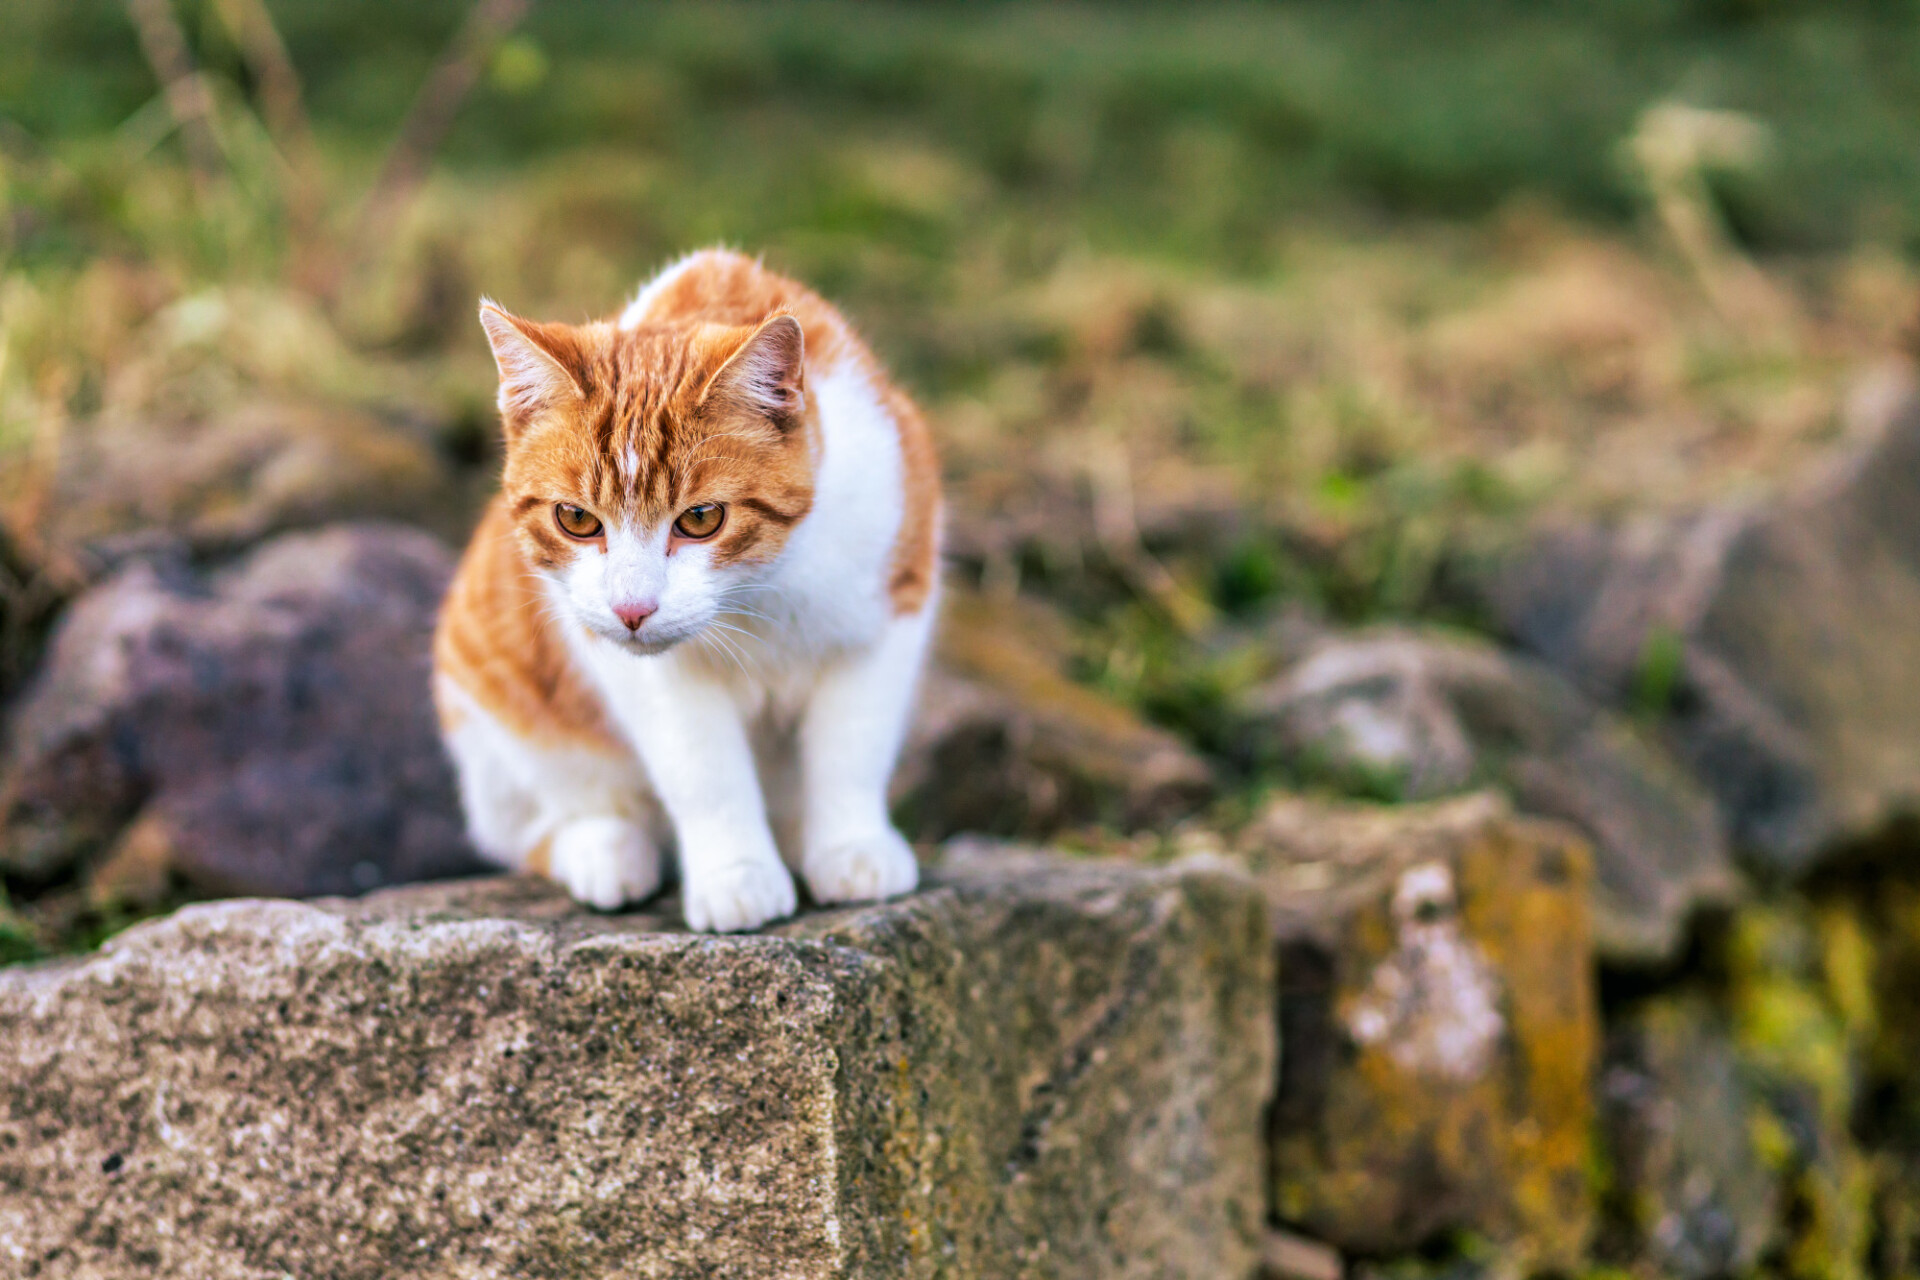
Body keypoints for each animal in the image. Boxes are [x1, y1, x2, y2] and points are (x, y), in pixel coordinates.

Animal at [435, 247, 944, 932]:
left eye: (701, 519)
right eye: (575, 519)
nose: (632, 609)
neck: (759, 590)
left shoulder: (893, 603)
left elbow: (852, 749)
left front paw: (851, 847)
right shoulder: (640, 670)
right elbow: (705, 772)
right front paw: (737, 874)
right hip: (487, 717)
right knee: (529, 827)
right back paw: (606, 848)